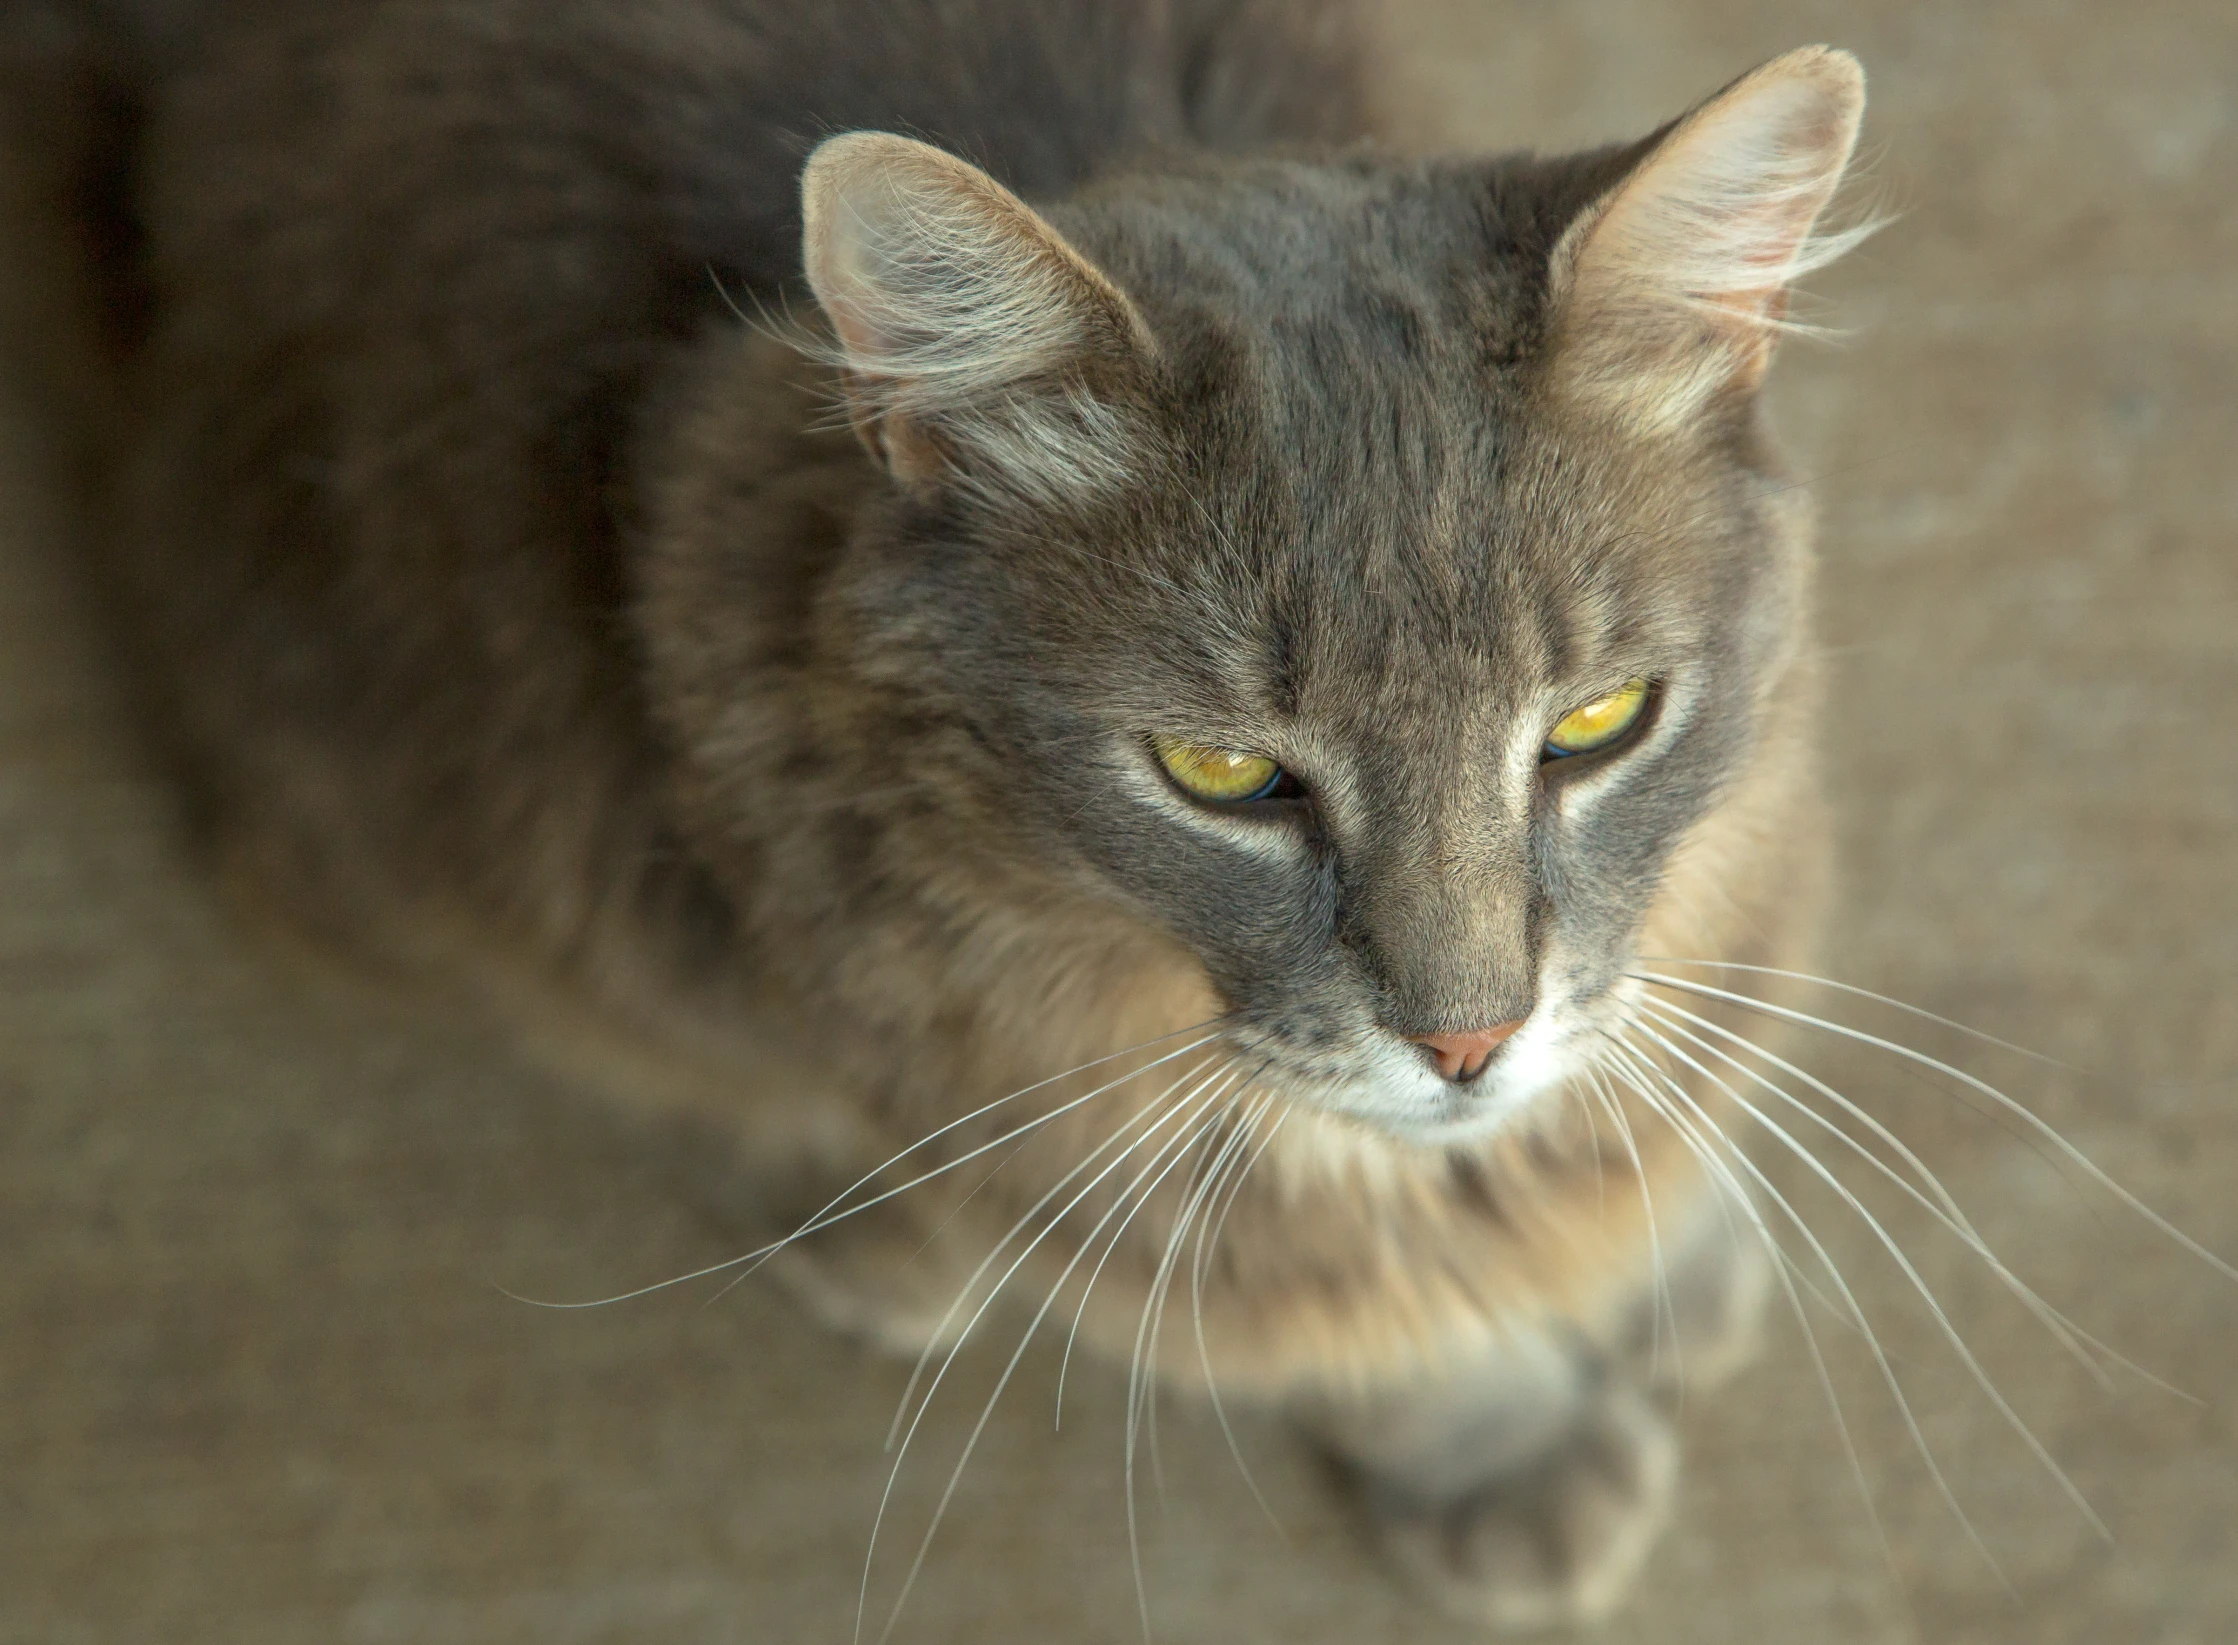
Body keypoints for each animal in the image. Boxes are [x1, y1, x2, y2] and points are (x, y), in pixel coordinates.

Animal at [13, 0, 1870, 1629]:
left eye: (1597, 724)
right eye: (1220, 776)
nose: (1468, 1043)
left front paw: (1659, 1230)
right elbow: (1322, 1295)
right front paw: (1500, 1429)